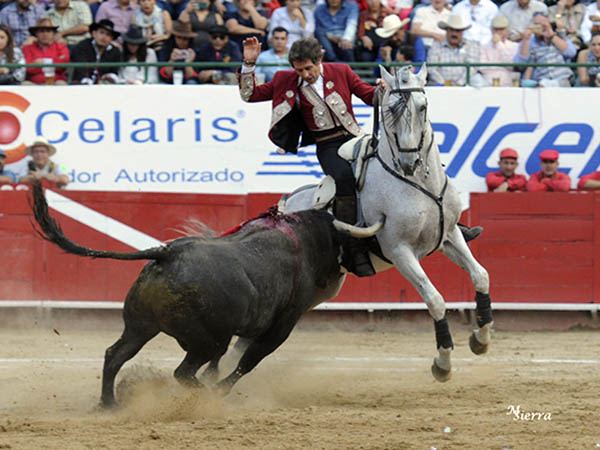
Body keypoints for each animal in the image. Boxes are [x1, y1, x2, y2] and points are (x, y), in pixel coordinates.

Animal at [31, 181, 352, 406]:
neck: (305, 238)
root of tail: (167, 253)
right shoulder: (281, 326)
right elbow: (248, 361)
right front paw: (219, 389)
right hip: (205, 340)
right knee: (183, 372)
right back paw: (204, 396)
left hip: (140, 326)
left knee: (115, 354)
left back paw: (109, 403)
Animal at [284, 63, 494, 380]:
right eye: (389, 110)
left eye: (423, 106)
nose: (409, 163)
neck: (419, 183)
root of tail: (284, 206)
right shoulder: (400, 251)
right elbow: (435, 299)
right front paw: (442, 363)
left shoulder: (450, 236)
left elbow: (481, 275)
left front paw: (480, 340)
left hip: (328, 283)